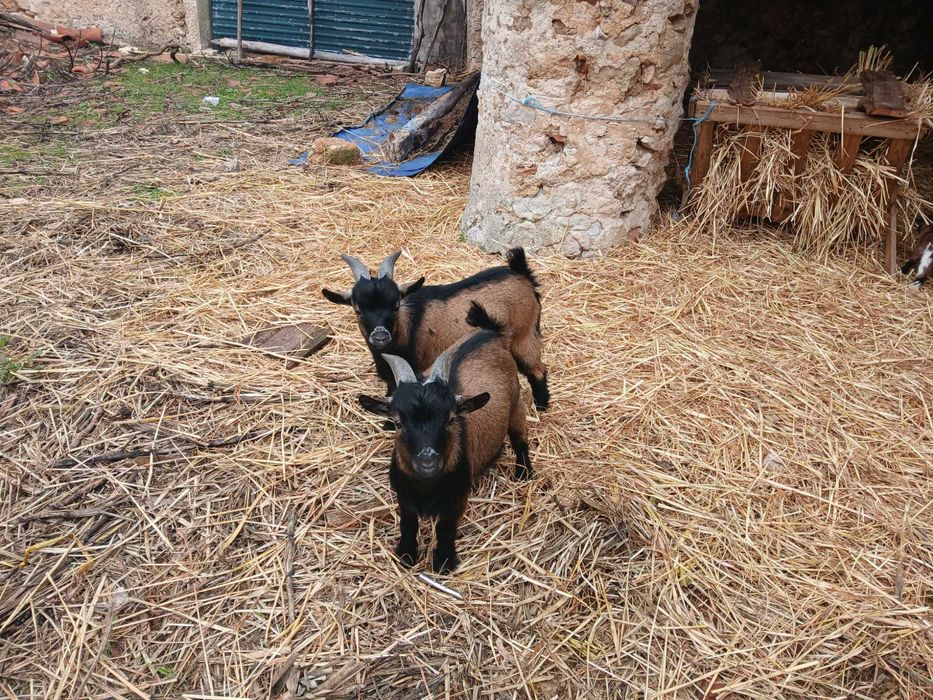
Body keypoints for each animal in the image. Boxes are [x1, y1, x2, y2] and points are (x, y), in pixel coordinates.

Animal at [323, 249, 549, 410]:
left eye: (395, 306)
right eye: (358, 310)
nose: (380, 336)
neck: (406, 326)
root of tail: (522, 273)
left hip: (524, 334)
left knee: (537, 370)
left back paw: (541, 406)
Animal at [359, 302, 531, 574]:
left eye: (450, 418)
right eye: (397, 422)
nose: (428, 462)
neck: (426, 486)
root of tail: (492, 333)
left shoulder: (457, 498)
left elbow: (445, 528)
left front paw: (444, 561)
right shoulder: (403, 496)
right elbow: (408, 523)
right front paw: (406, 554)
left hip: (516, 404)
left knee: (520, 438)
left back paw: (524, 472)